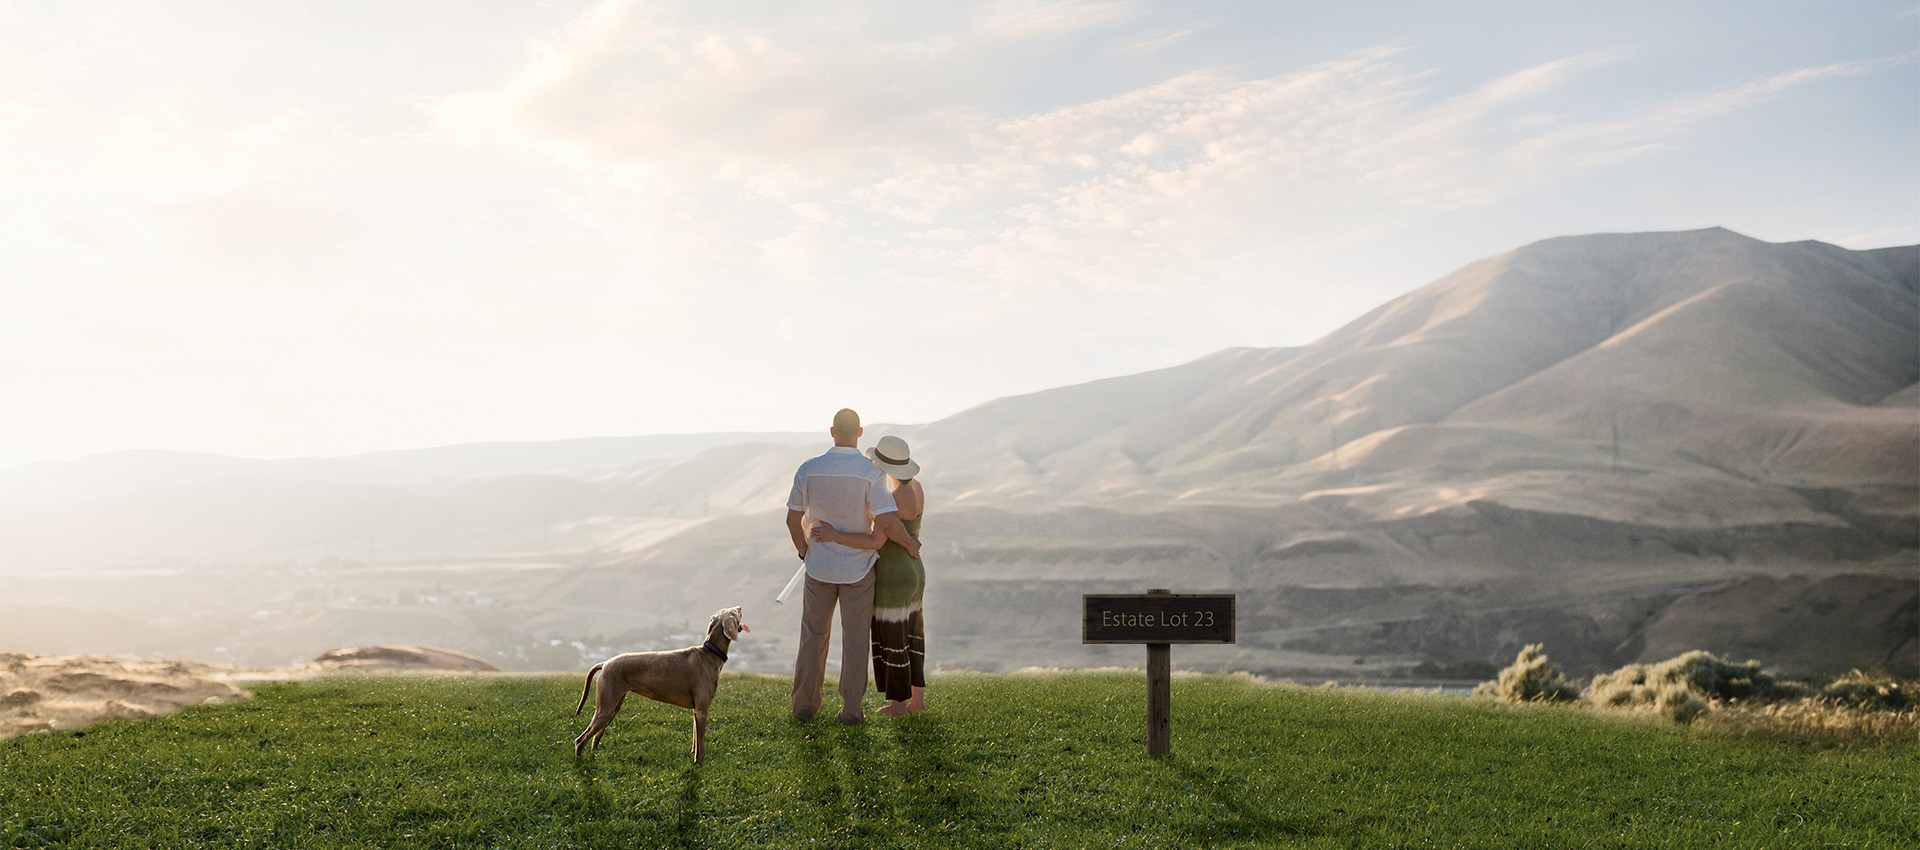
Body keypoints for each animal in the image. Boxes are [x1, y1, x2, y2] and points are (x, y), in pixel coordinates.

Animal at [564, 606, 744, 763]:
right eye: (734, 611)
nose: (740, 606)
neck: (710, 654)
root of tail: (605, 663)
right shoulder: (702, 710)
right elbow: (701, 748)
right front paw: (699, 767)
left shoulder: (697, 710)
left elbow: (695, 741)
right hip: (605, 708)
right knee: (580, 740)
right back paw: (580, 765)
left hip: (613, 706)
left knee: (595, 737)